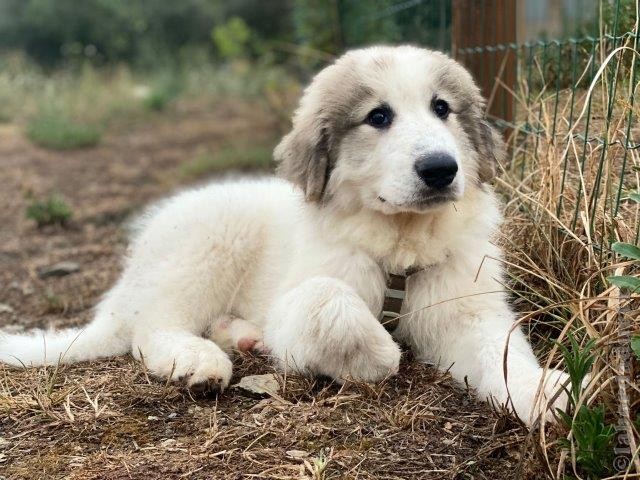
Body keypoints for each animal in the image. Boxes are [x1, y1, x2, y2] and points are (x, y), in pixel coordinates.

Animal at [0, 47, 568, 424]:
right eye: (378, 116)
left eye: (442, 108)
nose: (440, 169)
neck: (399, 249)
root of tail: (129, 279)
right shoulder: (301, 303)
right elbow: (329, 302)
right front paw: (382, 355)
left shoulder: (464, 307)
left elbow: (500, 349)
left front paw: (541, 392)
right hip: (205, 245)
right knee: (152, 327)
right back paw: (198, 360)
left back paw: (240, 336)